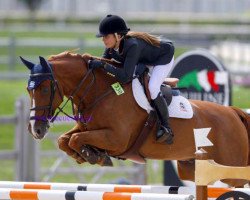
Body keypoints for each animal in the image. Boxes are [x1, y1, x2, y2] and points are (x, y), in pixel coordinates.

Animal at [21, 52, 250, 187]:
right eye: (28, 90)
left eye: (44, 88)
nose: (36, 130)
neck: (100, 91)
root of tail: (234, 113)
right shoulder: (87, 129)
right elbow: (65, 140)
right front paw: (88, 155)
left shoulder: (116, 139)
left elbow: (75, 139)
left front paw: (93, 155)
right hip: (191, 167)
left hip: (230, 170)